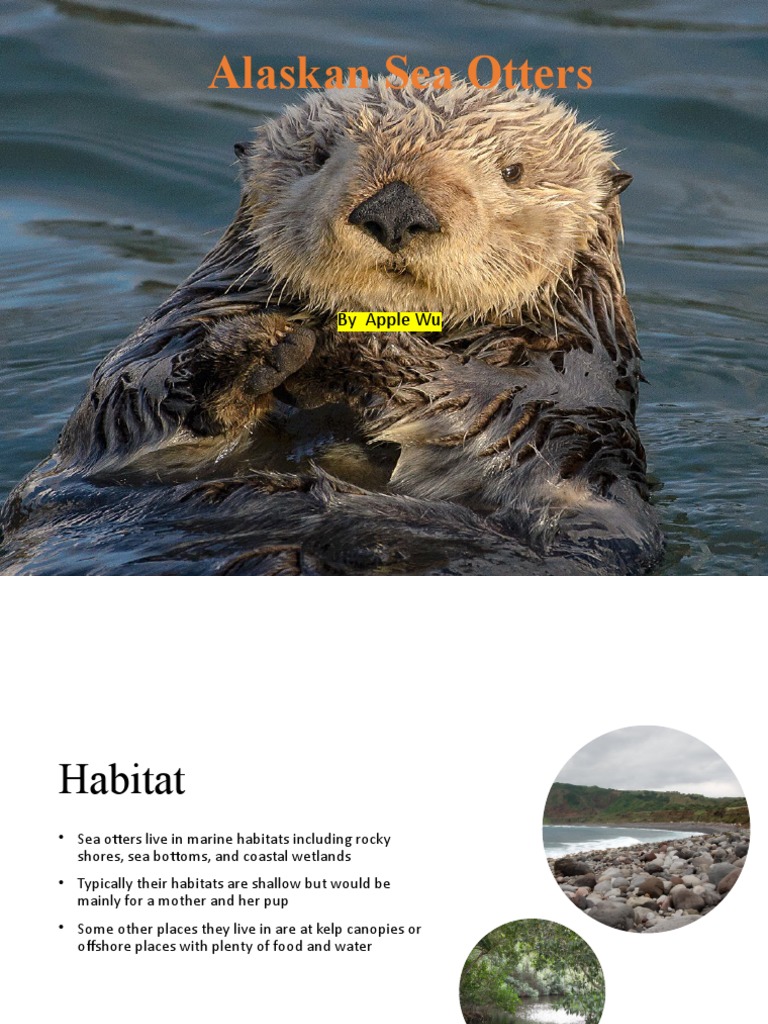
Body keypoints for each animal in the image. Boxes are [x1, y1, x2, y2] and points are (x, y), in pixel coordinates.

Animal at [0, 79, 663, 575]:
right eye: (318, 156)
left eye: (513, 170)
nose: (395, 208)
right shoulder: (165, 340)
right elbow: (125, 398)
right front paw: (258, 350)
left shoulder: (564, 392)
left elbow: (492, 415)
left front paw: (351, 351)